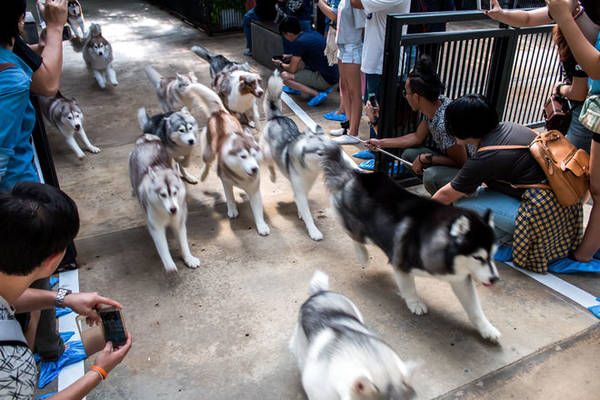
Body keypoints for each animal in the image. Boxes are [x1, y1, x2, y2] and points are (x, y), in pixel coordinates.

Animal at [127, 134, 200, 272]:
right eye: (163, 195)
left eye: (175, 192)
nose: (173, 209)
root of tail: (145, 140)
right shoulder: (156, 226)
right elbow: (162, 245)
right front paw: (169, 264)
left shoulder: (179, 222)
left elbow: (183, 242)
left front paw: (188, 258)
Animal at [262, 71, 328, 241]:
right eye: (320, 153)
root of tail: (277, 117)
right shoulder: (300, 190)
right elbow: (308, 214)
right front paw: (314, 231)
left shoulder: (304, 188)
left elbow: (301, 204)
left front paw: (300, 212)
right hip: (267, 153)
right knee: (269, 163)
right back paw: (272, 176)